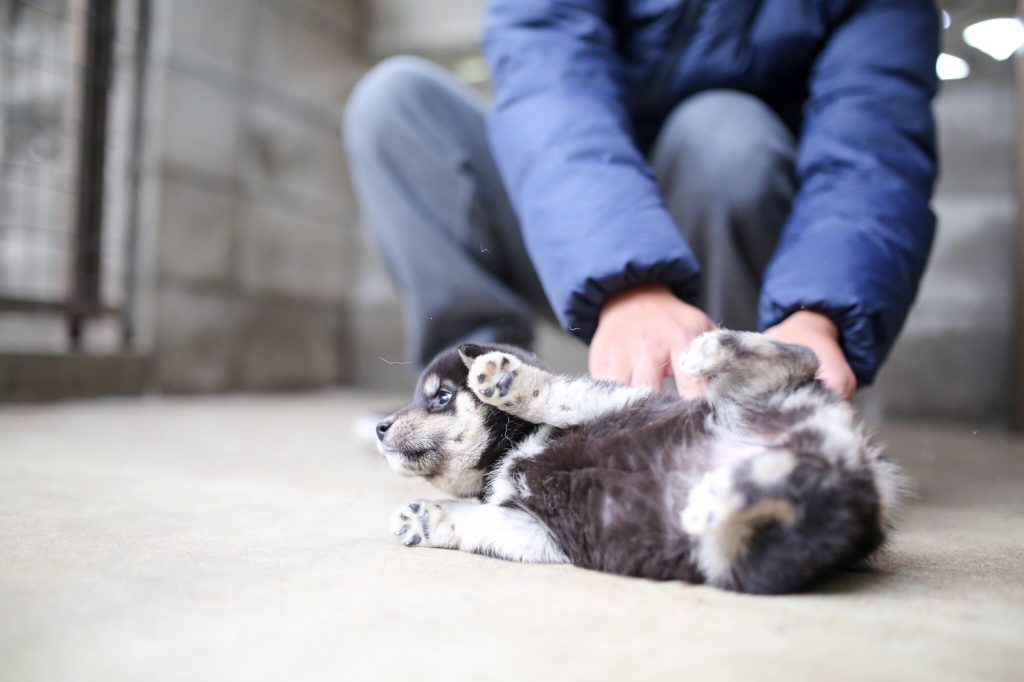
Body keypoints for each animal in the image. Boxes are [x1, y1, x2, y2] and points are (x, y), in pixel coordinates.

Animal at [376, 327, 905, 589]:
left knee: (803, 357)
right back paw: (717, 492)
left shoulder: (601, 401)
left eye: (441, 398)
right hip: (746, 550)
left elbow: (551, 394)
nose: (381, 427)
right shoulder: (536, 531)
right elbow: (474, 520)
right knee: (802, 474)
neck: (513, 450)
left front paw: (508, 380)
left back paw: (707, 351)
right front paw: (426, 519)